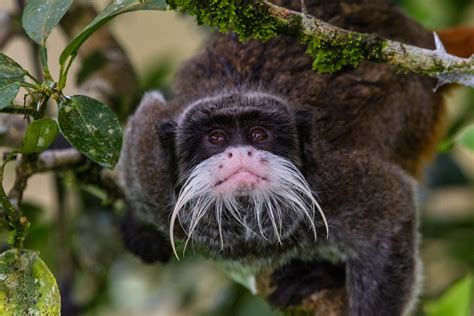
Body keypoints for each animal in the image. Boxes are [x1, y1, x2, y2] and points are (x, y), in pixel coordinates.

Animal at [118, 0, 470, 316]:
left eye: (259, 134)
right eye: (215, 138)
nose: (239, 152)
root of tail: (414, 33)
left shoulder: (331, 183)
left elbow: (393, 206)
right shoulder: (148, 164)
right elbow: (141, 126)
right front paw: (138, 223)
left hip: (409, 104)